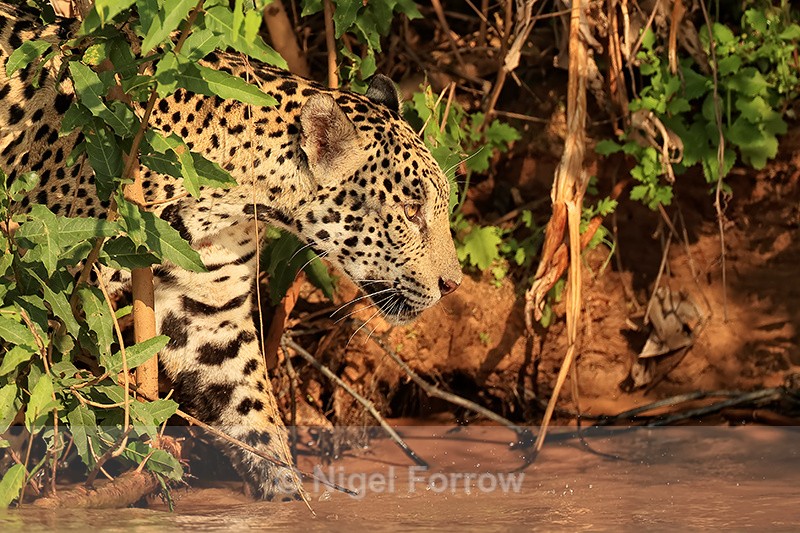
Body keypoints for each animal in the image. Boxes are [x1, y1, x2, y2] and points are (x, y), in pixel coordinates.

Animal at [0, 4, 462, 500]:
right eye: (411, 211)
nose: (452, 285)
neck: (231, 194)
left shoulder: (210, 313)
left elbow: (254, 413)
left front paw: (290, 497)